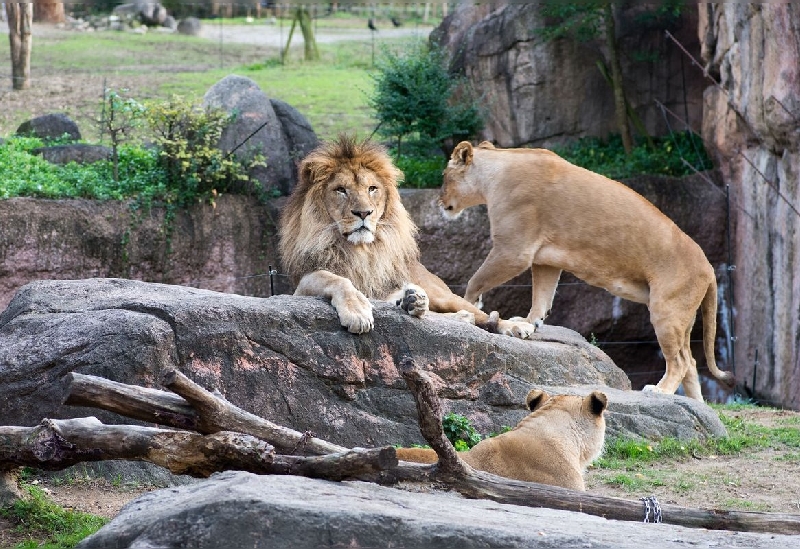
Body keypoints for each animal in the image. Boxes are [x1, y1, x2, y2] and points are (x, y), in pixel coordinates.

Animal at [278, 135, 536, 336]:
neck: (361, 250)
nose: (364, 213)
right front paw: (358, 310)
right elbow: (336, 279)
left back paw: (516, 326)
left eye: (372, 189)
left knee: (477, 313)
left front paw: (409, 302)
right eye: (340, 190)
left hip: (444, 295)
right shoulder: (300, 286)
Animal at [440, 139, 736, 400]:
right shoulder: (545, 259)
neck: (495, 172)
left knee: (681, 361)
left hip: (666, 310)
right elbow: (541, 297)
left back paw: (660, 391)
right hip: (683, 316)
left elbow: (475, 281)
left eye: (443, 176)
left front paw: (470, 306)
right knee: (692, 363)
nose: (439, 203)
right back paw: (699, 408)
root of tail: (709, 267)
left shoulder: (514, 251)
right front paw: (529, 322)